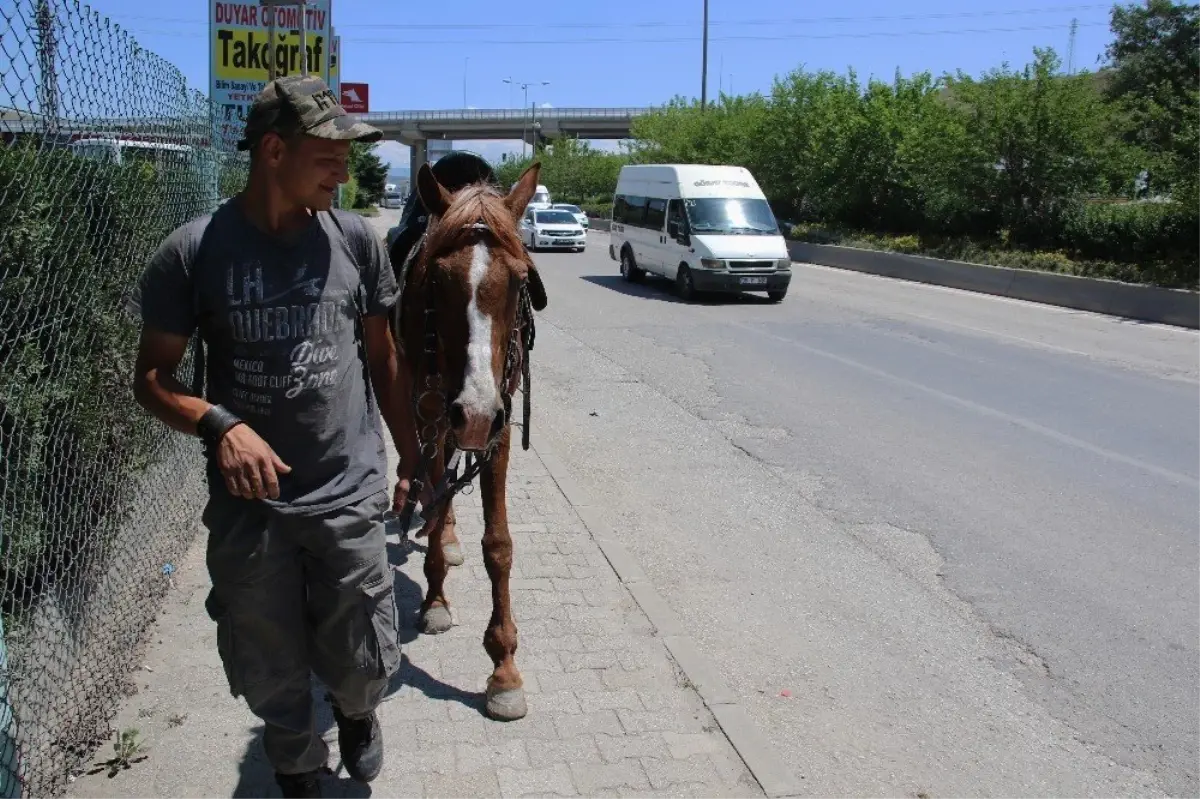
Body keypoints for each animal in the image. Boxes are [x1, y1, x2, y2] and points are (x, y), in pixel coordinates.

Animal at [393, 160, 549, 715]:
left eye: (522, 279)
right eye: (436, 280)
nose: (476, 414)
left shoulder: (498, 425)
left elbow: (498, 544)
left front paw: (504, 667)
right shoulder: (432, 412)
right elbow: (437, 501)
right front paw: (435, 600)